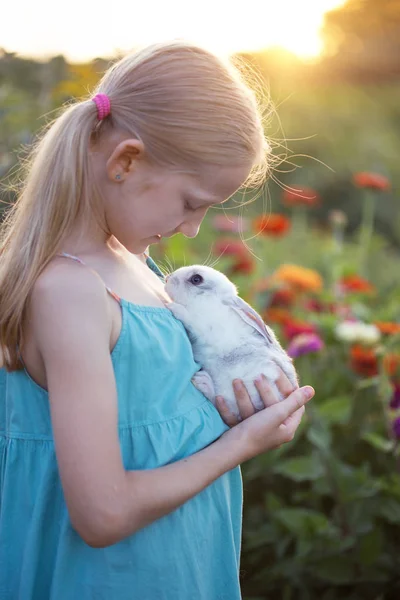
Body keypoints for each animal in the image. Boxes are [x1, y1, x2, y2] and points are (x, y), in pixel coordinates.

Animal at [164, 264, 298, 420]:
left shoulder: (206, 328)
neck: (211, 303)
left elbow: (191, 318)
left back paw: (203, 382)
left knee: (224, 404)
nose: (167, 279)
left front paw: (173, 307)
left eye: (196, 279)